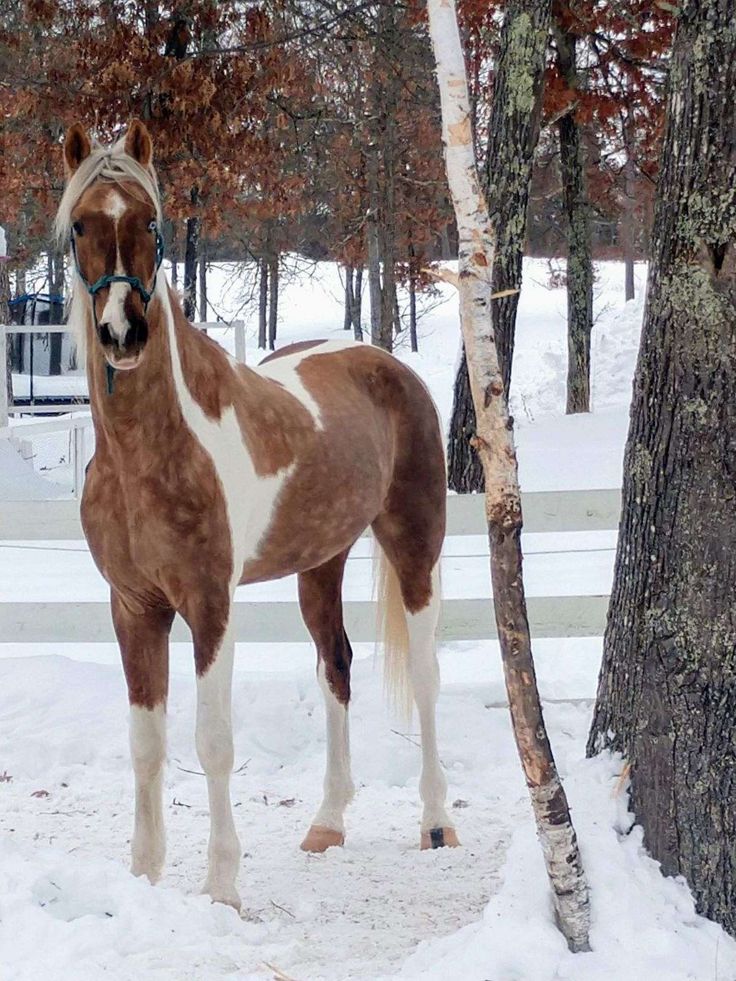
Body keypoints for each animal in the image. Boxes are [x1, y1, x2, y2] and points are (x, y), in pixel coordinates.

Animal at [57, 118, 458, 908]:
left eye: (150, 221)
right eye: (81, 224)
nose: (122, 332)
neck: (147, 451)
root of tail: (387, 363)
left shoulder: (210, 604)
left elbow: (212, 741)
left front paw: (222, 888)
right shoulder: (133, 606)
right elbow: (146, 743)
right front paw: (143, 876)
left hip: (414, 543)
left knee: (427, 677)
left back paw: (435, 822)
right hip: (320, 565)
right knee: (336, 666)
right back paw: (328, 822)